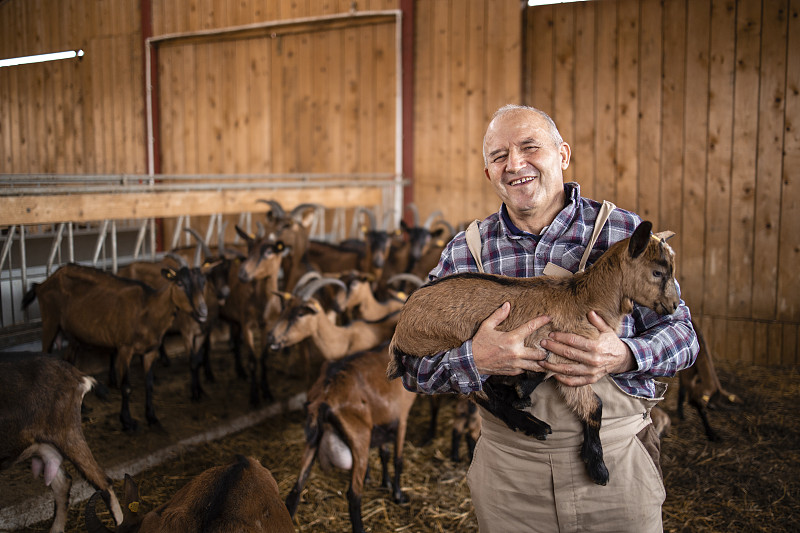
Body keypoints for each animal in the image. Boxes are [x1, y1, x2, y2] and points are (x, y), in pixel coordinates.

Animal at [23, 264, 208, 430]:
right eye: (180, 283)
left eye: (203, 283)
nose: (203, 312)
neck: (148, 310)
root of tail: (42, 284)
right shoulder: (125, 348)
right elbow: (126, 387)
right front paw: (127, 422)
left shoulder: (150, 350)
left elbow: (149, 384)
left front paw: (152, 418)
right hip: (50, 321)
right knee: (44, 355)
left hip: (74, 335)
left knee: (69, 360)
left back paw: (81, 407)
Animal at [284, 344, 416, 532]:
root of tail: (325, 396)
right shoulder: (402, 417)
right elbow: (398, 460)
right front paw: (398, 495)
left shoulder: (382, 420)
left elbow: (384, 453)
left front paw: (386, 483)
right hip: (360, 437)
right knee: (354, 494)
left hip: (313, 439)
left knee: (294, 492)